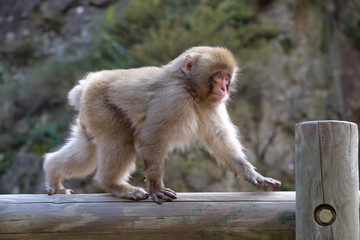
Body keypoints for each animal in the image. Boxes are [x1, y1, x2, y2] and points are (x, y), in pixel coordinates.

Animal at [43, 46, 282, 203]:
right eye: (217, 76)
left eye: (226, 77)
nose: (223, 88)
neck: (189, 88)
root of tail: (85, 85)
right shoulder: (173, 99)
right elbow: (152, 137)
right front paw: (156, 188)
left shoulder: (211, 105)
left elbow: (220, 140)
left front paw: (253, 175)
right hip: (101, 105)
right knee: (120, 141)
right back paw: (114, 185)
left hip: (91, 114)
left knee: (88, 148)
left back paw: (53, 173)